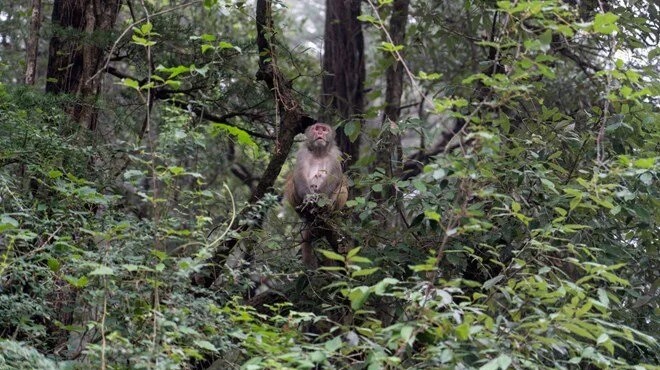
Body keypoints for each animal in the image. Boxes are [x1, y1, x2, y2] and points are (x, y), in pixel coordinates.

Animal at [288, 123, 354, 268]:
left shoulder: (335, 155)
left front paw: (318, 200)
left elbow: (335, 177)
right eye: (316, 128)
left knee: (342, 186)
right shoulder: (303, 153)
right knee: (291, 181)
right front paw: (308, 199)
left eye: (324, 129)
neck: (319, 152)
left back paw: (326, 210)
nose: (320, 133)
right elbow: (299, 175)